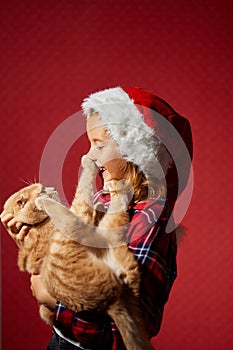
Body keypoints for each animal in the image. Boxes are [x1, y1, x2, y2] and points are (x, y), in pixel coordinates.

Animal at [2, 157, 155, 348]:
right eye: (42, 190)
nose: (46, 188)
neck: (37, 226)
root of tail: (112, 300)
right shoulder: (79, 217)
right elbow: (83, 194)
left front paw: (98, 205)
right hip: (84, 230)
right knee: (110, 204)